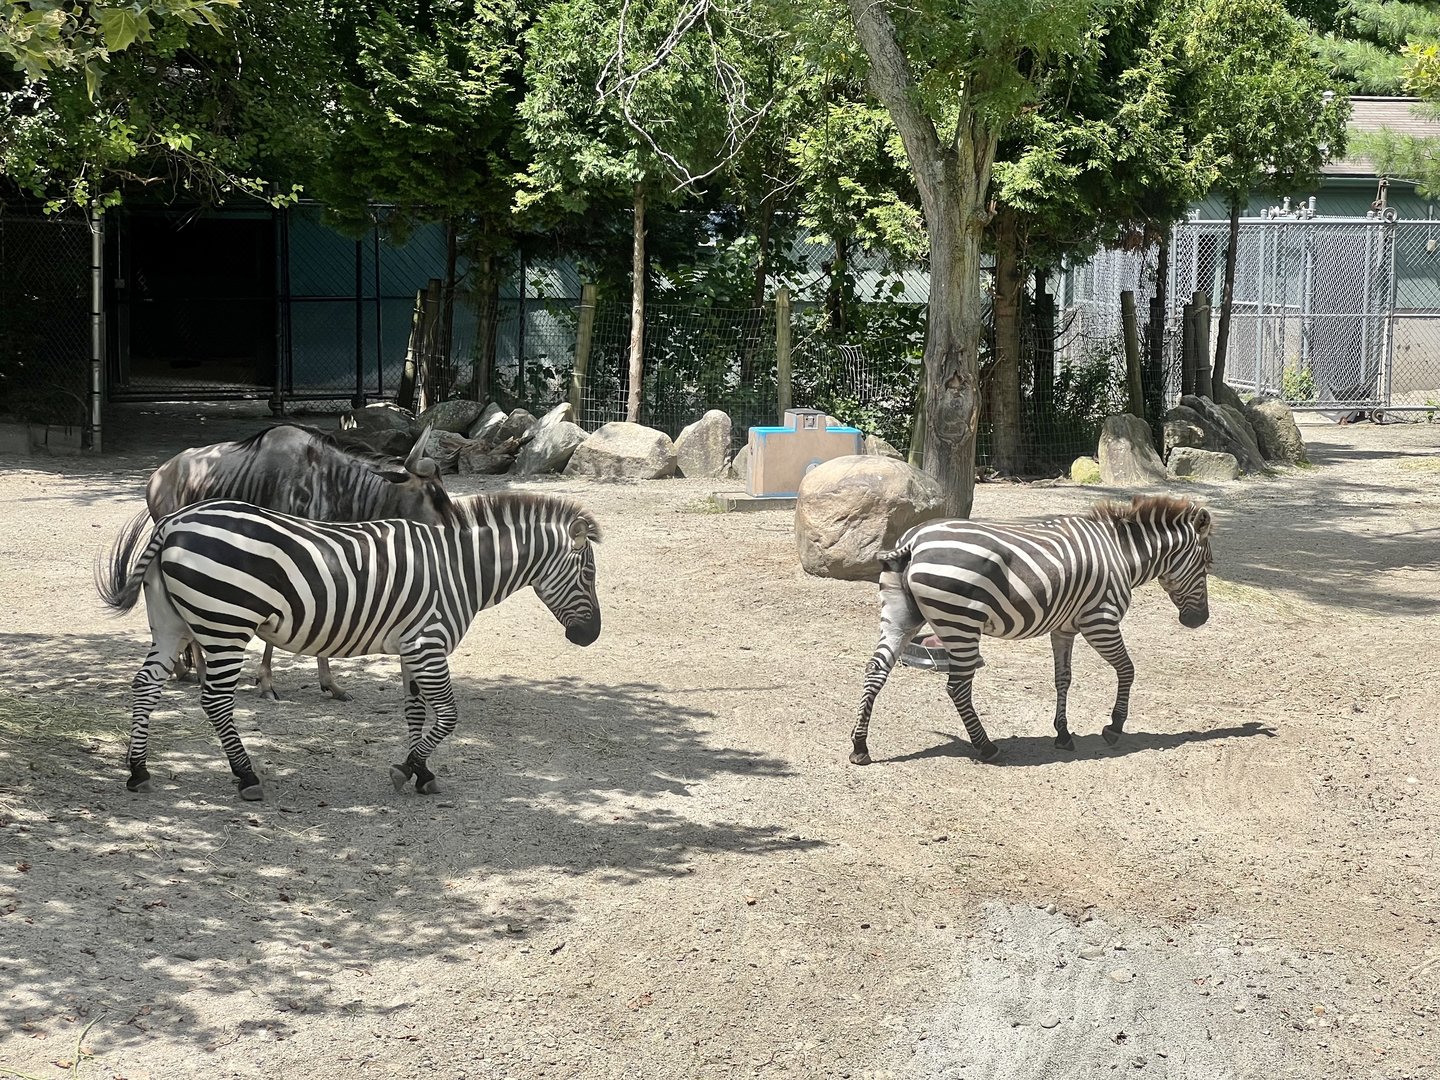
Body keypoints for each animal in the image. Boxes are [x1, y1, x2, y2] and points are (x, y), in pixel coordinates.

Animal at [96, 491, 601, 801]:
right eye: (590, 574)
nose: (591, 637)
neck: (461, 569)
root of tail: (174, 520)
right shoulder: (429, 642)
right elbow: (448, 715)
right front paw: (407, 769)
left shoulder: (412, 647)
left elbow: (415, 712)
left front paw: (420, 771)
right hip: (226, 622)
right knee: (215, 700)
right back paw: (247, 777)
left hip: (174, 624)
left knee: (146, 685)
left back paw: (138, 771)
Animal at [145, 423, 449, 701]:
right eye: (434, 494)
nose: (449, 530)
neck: (330, 480)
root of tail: (157, 477)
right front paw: (267, 683)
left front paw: (331, 684)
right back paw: (199, 672)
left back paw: (187, 669)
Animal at [849, 495, 1214, 765]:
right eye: (1208, 565)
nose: (1199, 620)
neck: (1123, 555)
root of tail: (912, 541)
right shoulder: (1101, 621)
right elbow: (1127, 669)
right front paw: (1114, 726)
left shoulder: (1064, 628)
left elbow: (1062, 679)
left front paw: (1063, 734)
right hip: (961, 623)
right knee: (957, 688)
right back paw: (986, 747)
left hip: (901, 615)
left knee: (876, 669)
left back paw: (859, 747)